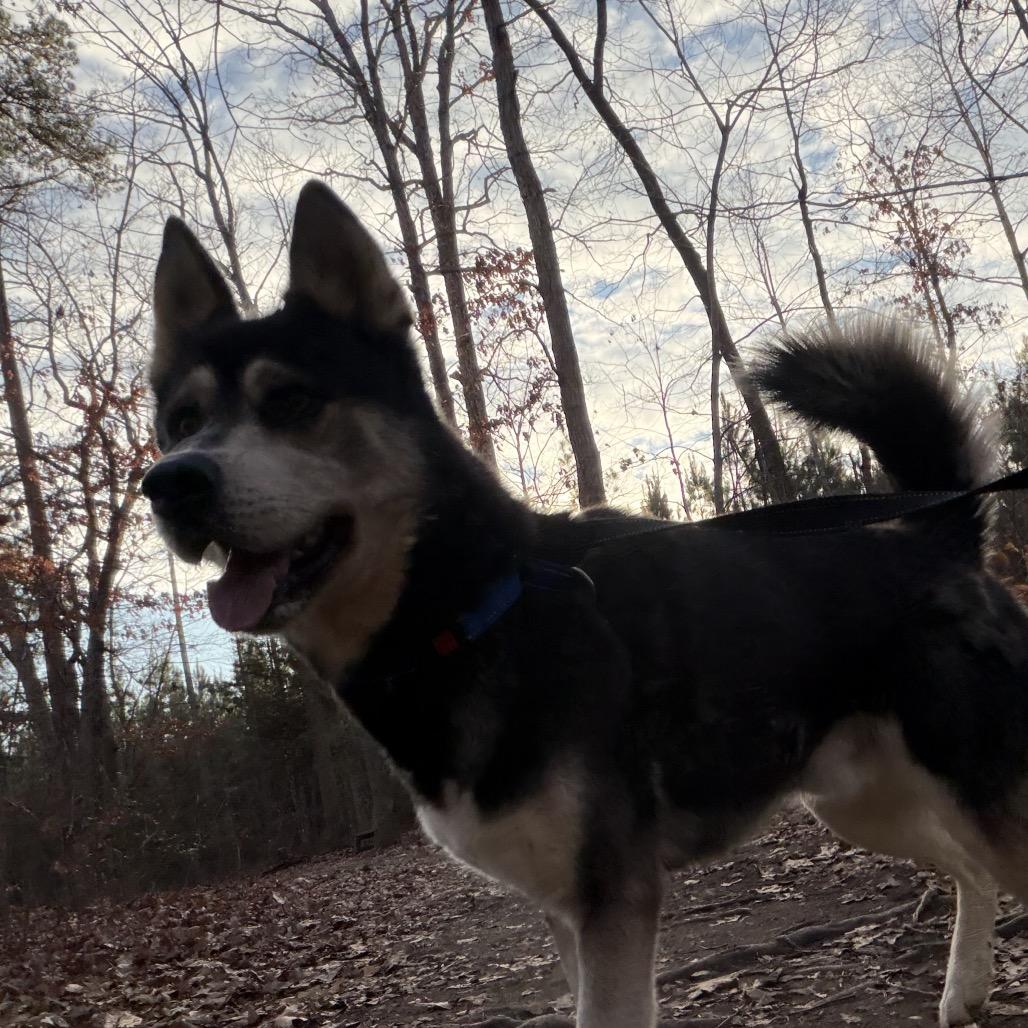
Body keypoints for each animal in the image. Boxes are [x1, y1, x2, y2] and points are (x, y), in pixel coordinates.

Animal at [142, 180, 1028, 1027]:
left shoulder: (613, 899)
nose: (169, 484)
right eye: (180, 421)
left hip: (971, 791)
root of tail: (935, 531)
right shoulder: (567, 910)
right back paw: (965, 991)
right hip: (864, 802)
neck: (473, 608)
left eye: (290, 401)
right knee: (971, 869)